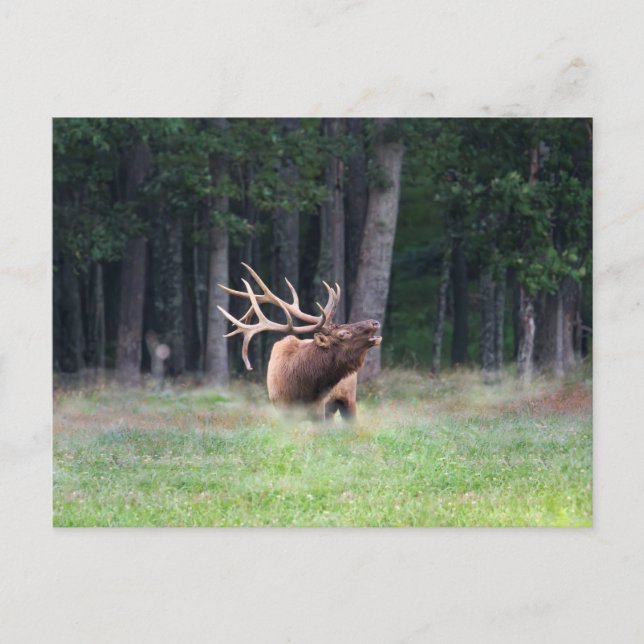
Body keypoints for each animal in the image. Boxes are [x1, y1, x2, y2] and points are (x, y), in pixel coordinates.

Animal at [217, 263, 381, 420]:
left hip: (348, 399)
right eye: (343, 333)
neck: (300, 390)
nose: (375, 322)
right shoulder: (282, 411)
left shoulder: (319, 409)